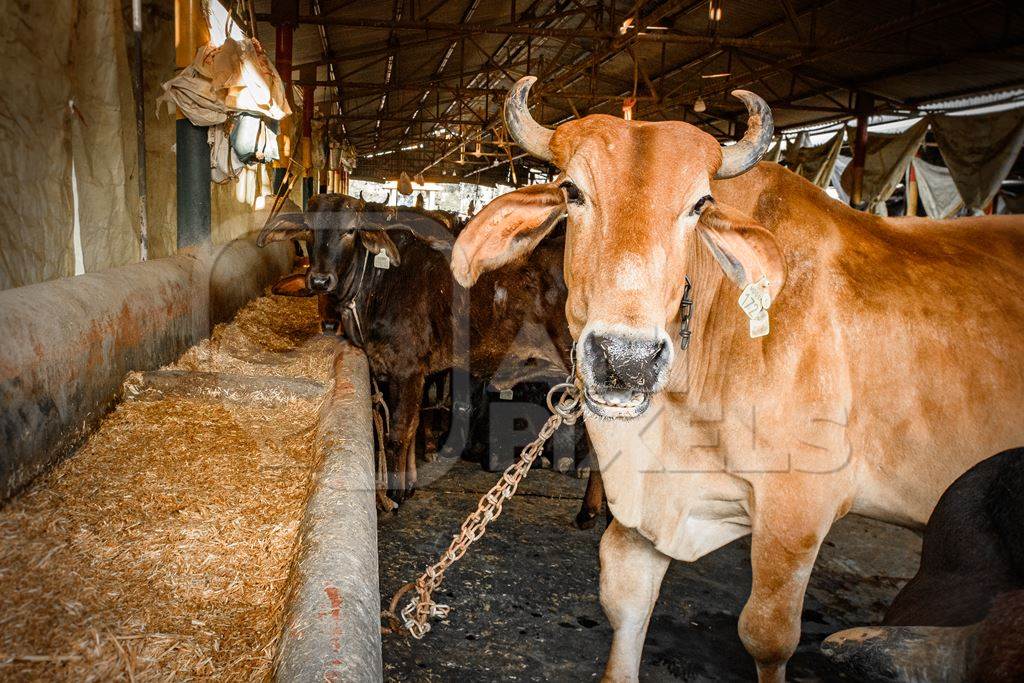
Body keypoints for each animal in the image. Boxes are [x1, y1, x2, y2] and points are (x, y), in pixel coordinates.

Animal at [452, 74, 1024, 683]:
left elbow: (766, 636)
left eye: (699, 205)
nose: (626, 358)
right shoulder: (650, 507)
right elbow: (626, 601)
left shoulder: (797, 512)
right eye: (573, 192)